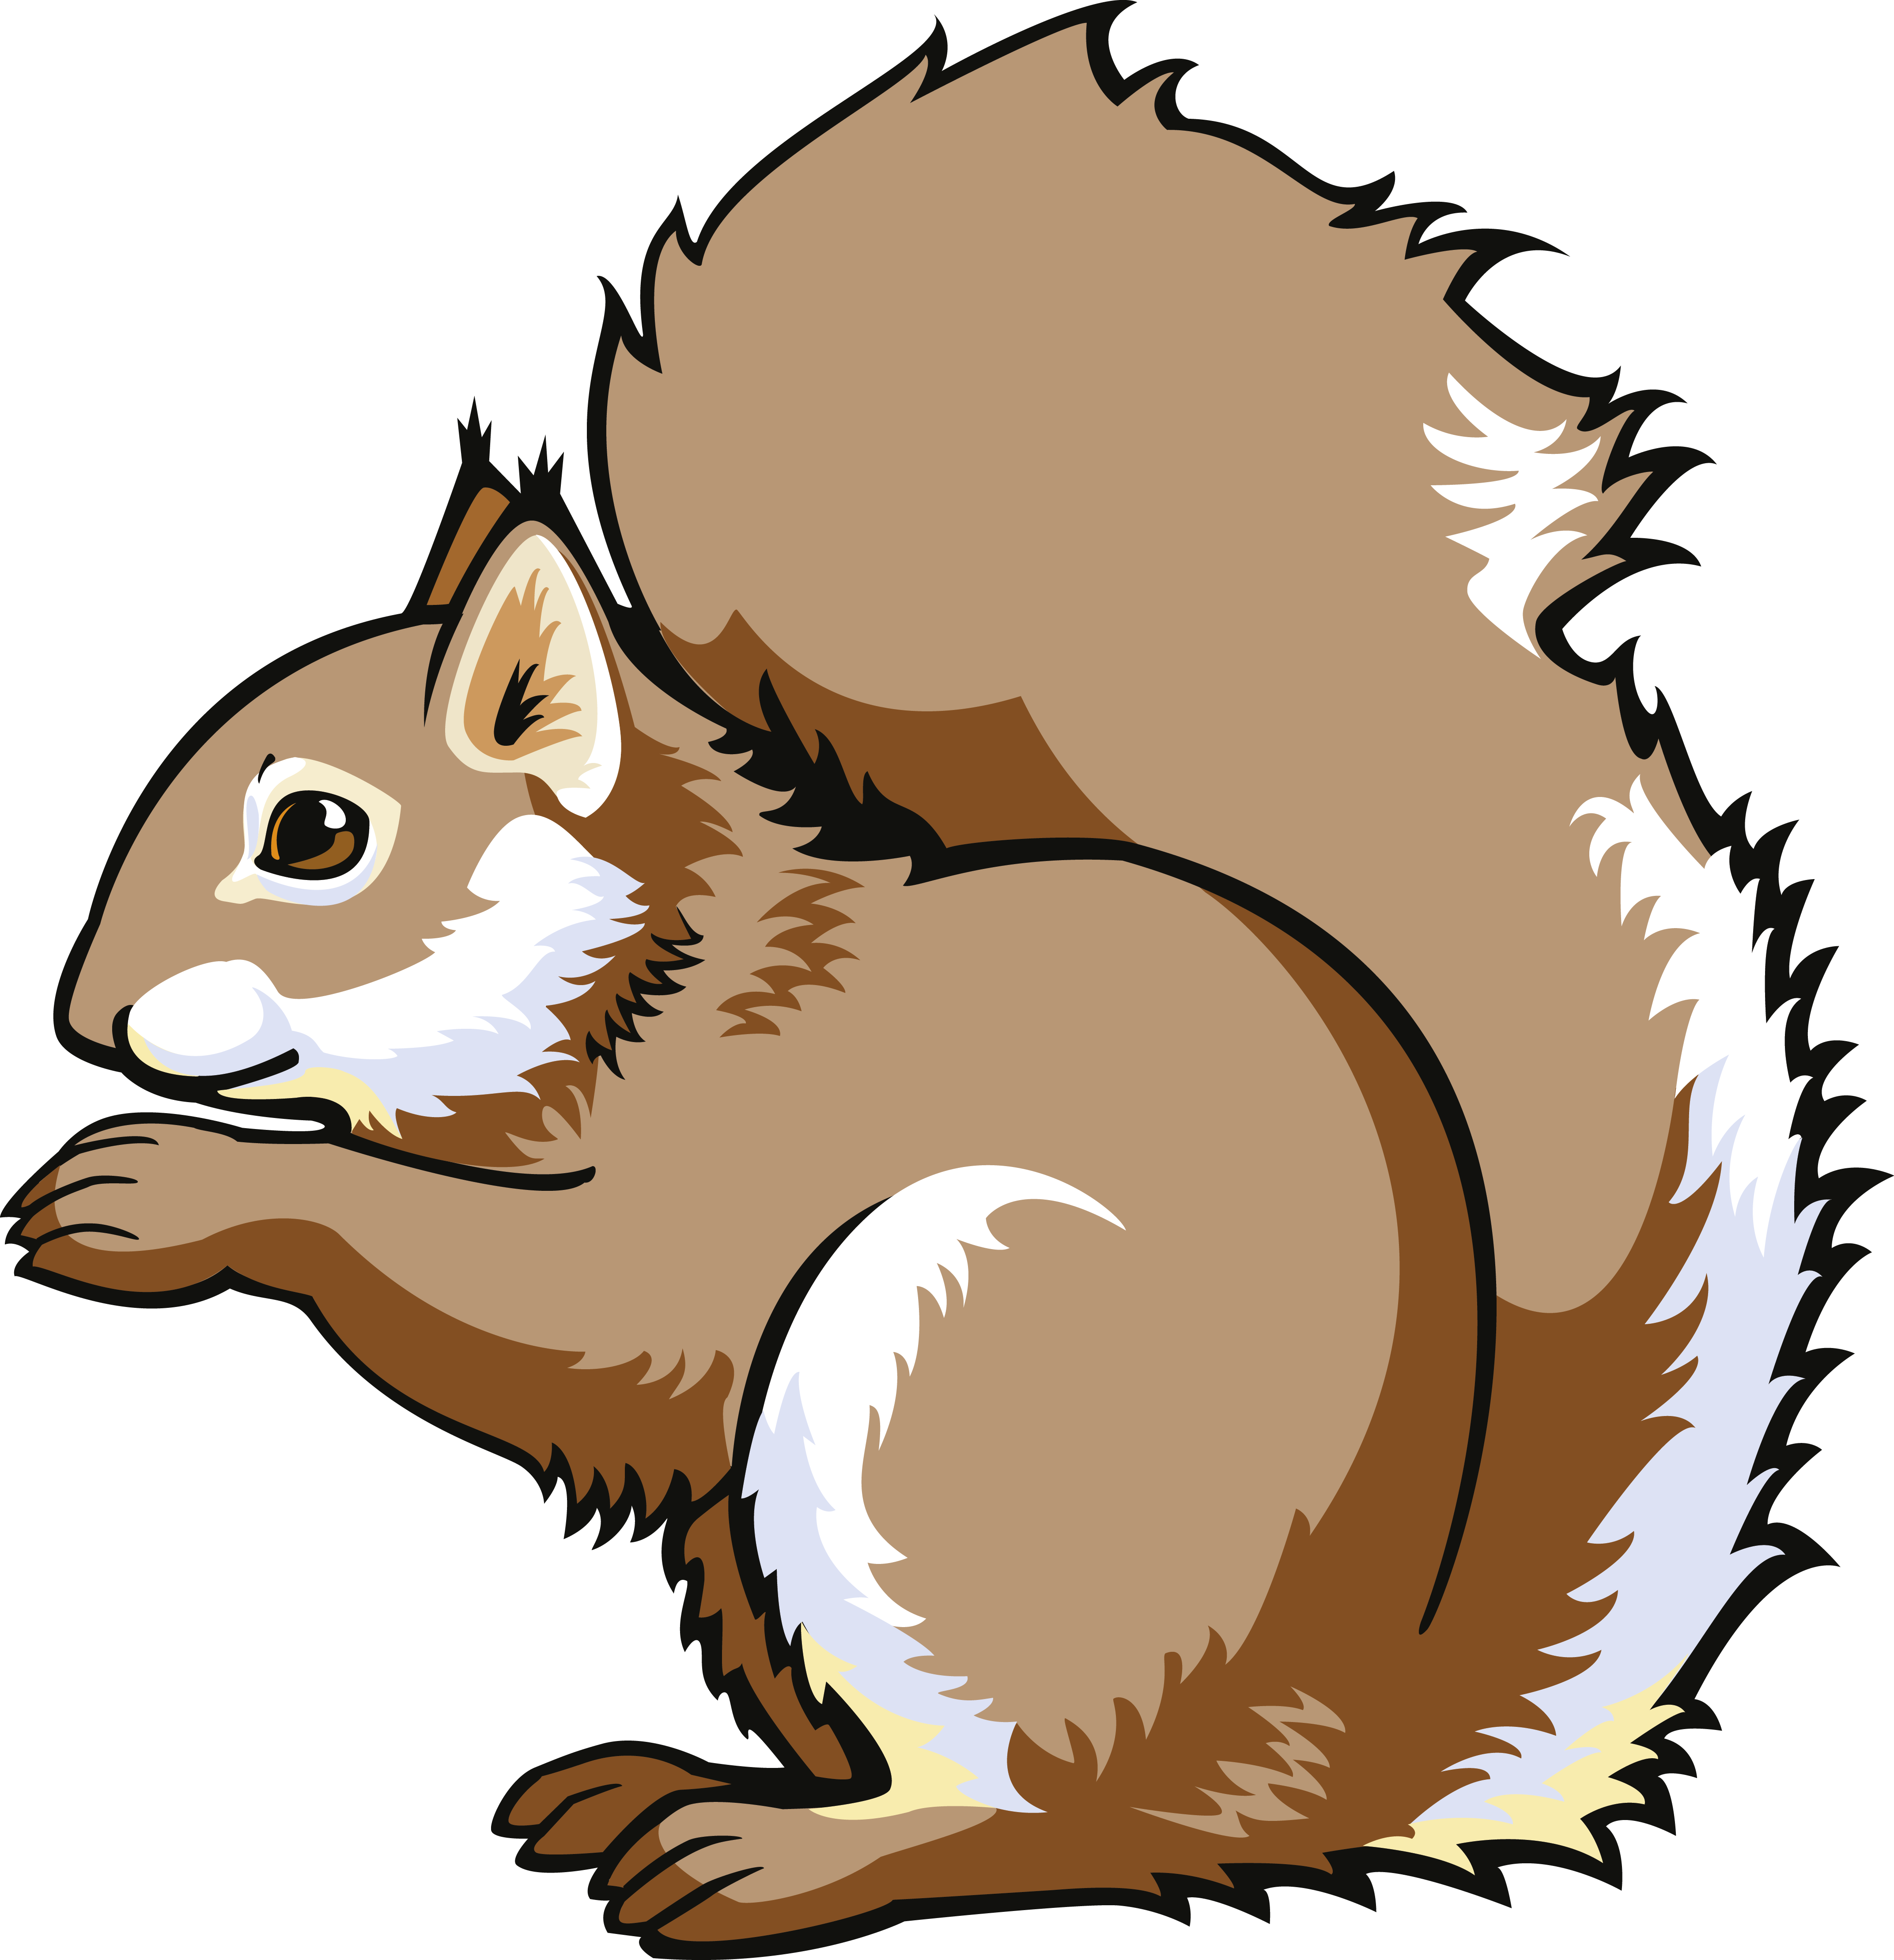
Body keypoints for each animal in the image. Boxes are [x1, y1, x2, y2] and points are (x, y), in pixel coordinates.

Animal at [5, 10, 1866, 1952]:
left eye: (314, 831)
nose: (79, 1014)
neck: (656, 965)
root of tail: (1318, 1752)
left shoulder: (739, 1159)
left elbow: (572, 1305)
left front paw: (173, 1189)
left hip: (950, 1383)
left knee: (1036, 1814)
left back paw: (763, 1852)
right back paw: (669, 1784)